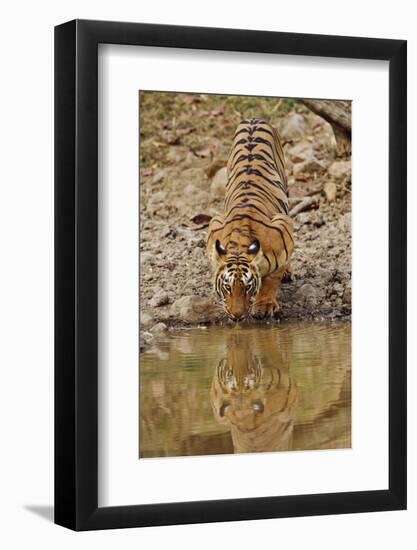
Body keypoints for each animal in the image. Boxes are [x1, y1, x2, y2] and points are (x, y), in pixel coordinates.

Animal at [206, 118, 294, 322]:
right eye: (227, 287)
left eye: (247, 287)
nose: (237, 316)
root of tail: (253, 119)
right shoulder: (214, 226)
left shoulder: (283, 227)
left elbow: (272, 279)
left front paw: (264, 306)